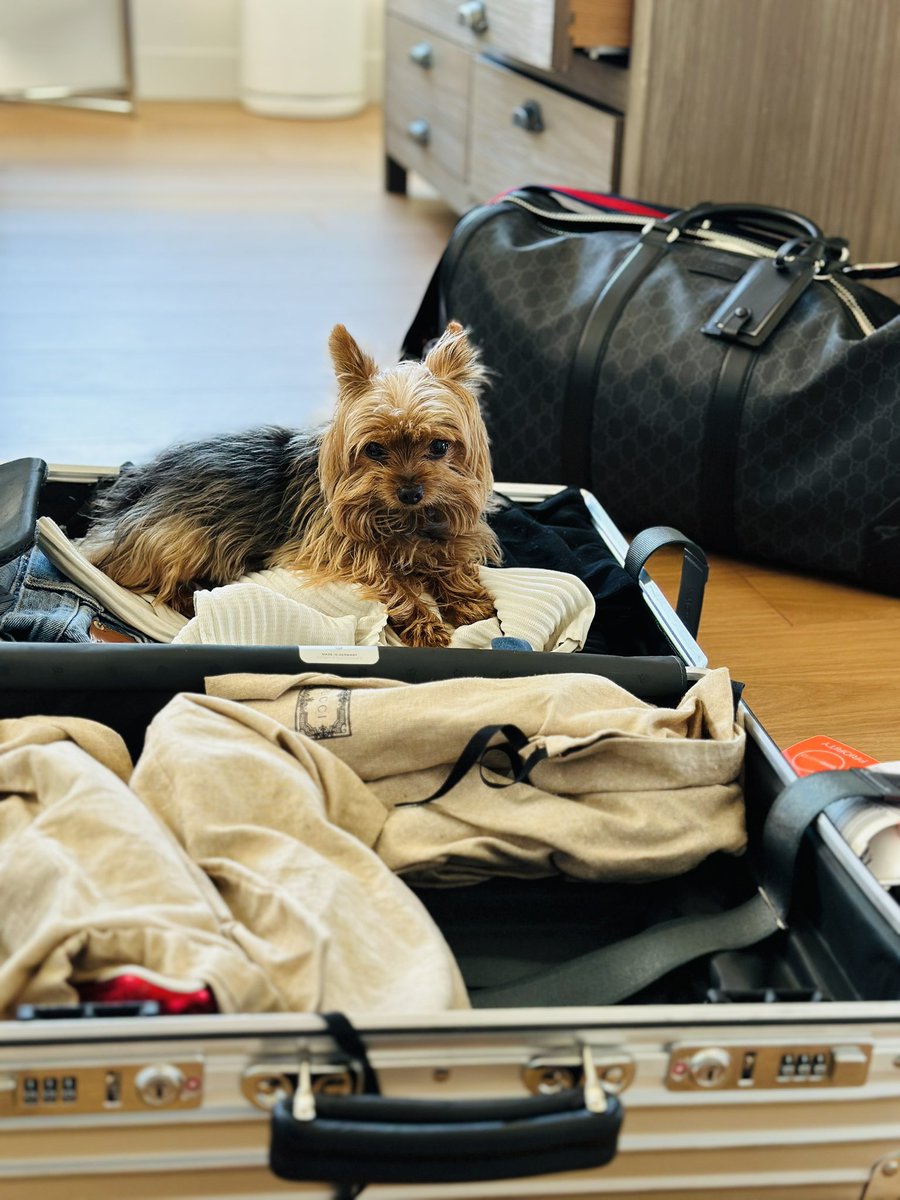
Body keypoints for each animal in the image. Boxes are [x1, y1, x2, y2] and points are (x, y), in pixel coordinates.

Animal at [85, 319, 504, 648]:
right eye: (374, 449)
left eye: (439, 446)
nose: (410, 493)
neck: (404, 519)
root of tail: (136, 482)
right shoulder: (341, 550)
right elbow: (391, 582)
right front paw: (424, 623)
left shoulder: (445, 527)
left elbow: (448, 558)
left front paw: (467, 600)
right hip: (182, 536)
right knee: (146, 578)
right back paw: (196, 597)